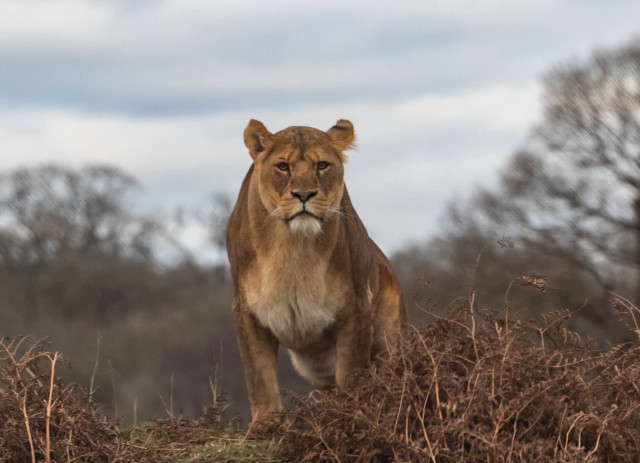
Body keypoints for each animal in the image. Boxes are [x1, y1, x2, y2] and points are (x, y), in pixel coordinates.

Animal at [226, 119, 406, 421]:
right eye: (283, 166)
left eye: (322, 165)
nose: (304, 194)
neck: (293, 247)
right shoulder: (248, 313)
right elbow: (260, 380)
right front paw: (265, 425)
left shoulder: (356, 308)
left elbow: (351, 375)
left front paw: (348, 415)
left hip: (388, 338)